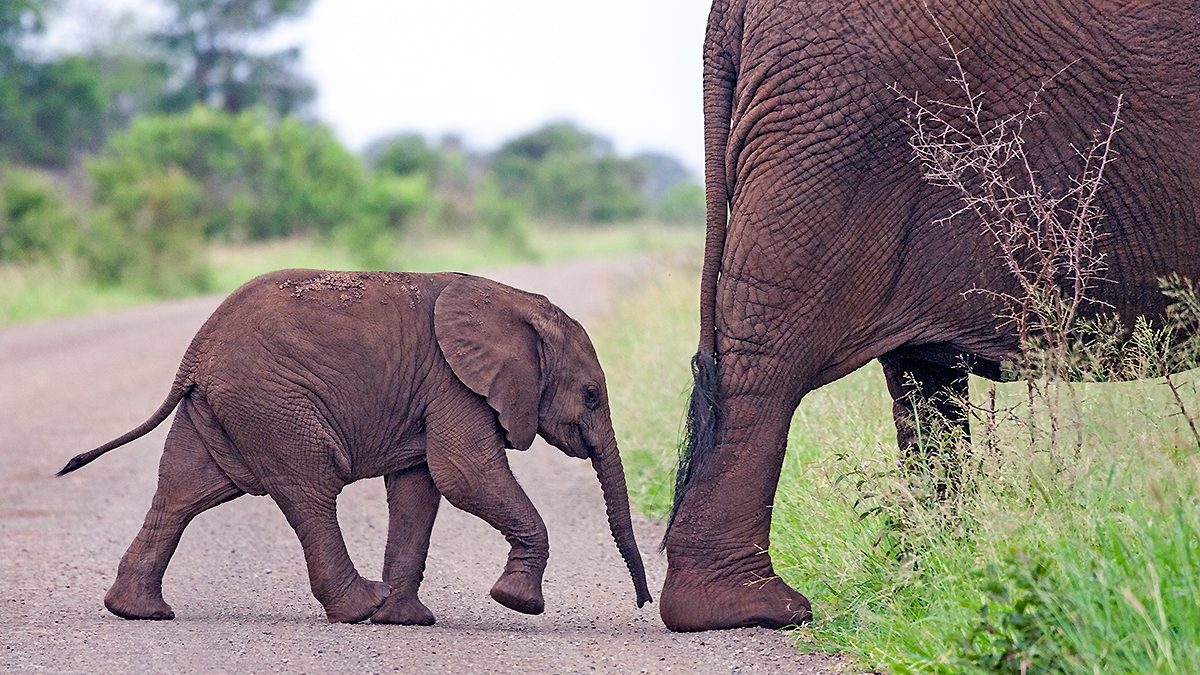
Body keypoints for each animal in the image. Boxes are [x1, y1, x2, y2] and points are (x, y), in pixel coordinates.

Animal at [58, 270, 653, 624]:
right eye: (592, 395)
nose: (645, 605)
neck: (516, 303)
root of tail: (197, 346)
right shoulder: (454, 384)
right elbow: (464, 474)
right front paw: (517, 603)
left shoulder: (433, 391)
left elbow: (421, 488)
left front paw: (408, 621)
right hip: (273, 401)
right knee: (310, 488)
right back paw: (359, 607)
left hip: (223, 404)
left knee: (184, 489)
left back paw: (138, 611)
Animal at [660, 0, 1200, 632]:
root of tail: (726, 14)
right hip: (833, 129)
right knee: (771, 355)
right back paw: (755, 607)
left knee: (924, 386)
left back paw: (937, 574)